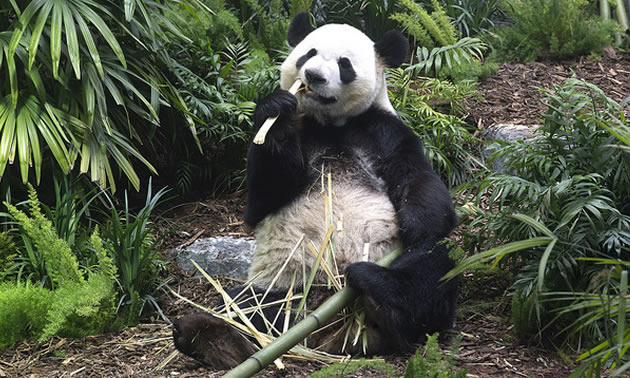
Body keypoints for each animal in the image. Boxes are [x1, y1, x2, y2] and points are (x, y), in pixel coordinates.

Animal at [173, 11, 460, 370]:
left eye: (344, 64)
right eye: (308, 53)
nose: (312, 75)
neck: (330, 124)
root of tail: (328, 330)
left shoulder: (382, 130)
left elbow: (418, 180)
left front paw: (419, 221)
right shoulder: (301, 132)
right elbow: (261, 199)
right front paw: (277, 116)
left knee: (433, 266)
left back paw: (381, 297)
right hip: (281, 286)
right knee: (247, 306)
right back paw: (210, 335)